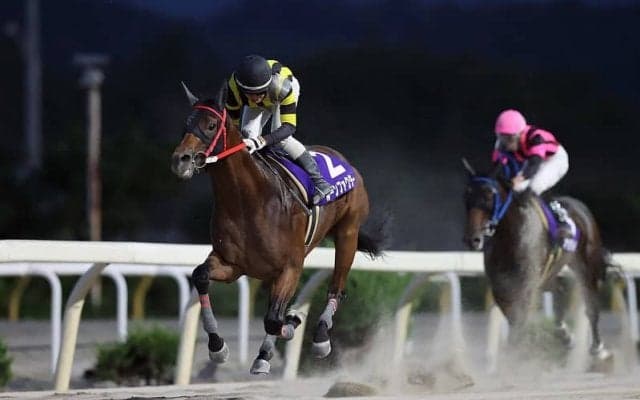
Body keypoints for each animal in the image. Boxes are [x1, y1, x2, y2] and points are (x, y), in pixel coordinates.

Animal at [170, 83, 390, 375]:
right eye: (186, 124)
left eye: (211, 124)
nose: (180, 160)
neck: (248, 201)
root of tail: (342, 159)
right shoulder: (232, 264)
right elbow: (200, 276)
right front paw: (218, 348)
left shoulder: (290, 266)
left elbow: (275, 319)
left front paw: (294, 320)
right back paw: (264, 354)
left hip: (348, 233)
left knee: (337, 287)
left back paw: (320, 337)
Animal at [461, 159, 614, 368]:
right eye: (467, 197)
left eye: (489, 196)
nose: (472, 239)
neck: (510, 237)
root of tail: (580, 206)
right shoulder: (501, 288)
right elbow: (513, 320)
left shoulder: (526, 285)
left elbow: (519, 322)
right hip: (548, 274)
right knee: (560, 291)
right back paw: (564, 334)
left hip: (586, 265)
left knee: (591, 305)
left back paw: (599, 350)